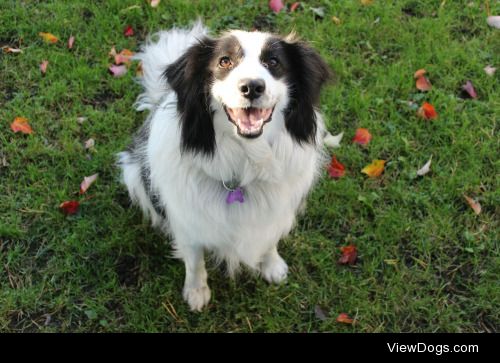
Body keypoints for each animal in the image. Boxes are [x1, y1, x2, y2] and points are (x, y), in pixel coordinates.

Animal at [118, 22, 330, 312]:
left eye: (273, 62)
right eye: (225, 61)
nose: (252, 87)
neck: (244, 162)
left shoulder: (276, 210)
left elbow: (270, 239)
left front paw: (272, 265)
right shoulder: (188, 221)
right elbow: (194, 260)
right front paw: (196, 292)